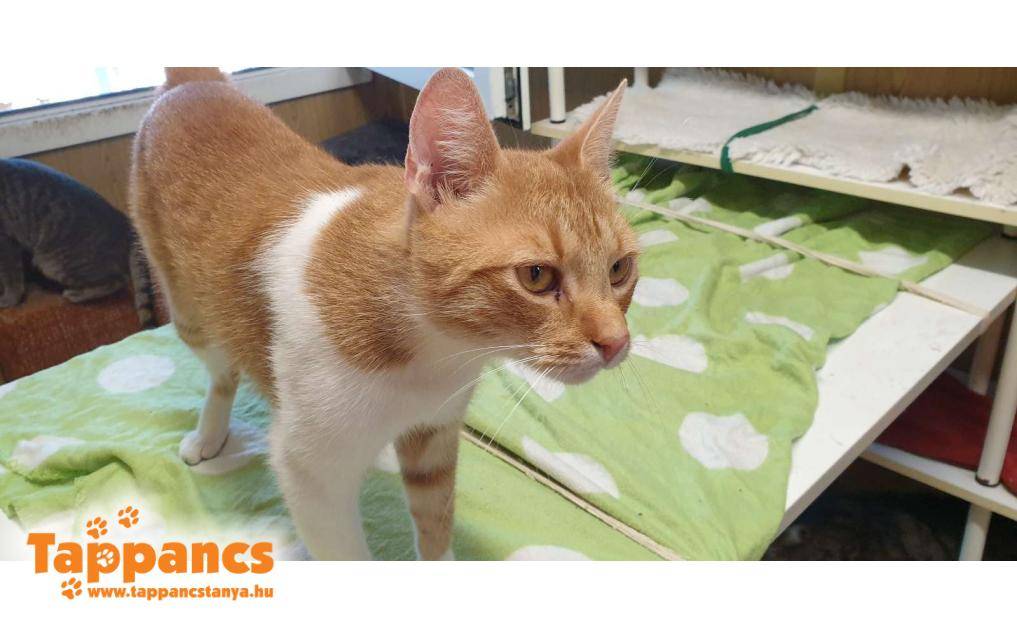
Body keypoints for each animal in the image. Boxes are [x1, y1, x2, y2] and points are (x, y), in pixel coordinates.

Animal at [0, 158, 156, 326]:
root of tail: (122, 220)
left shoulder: (6, 244)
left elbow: (12, 279)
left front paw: (9, 299)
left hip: (52, 262)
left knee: (118, 280)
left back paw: (77, 294)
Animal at [129, 67, 636, 560]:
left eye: (619, 269)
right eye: (536, 276)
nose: (616, 342)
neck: (432, 347)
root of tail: (195, 82)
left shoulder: (435, 437)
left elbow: (435, 525)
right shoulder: (310, 474)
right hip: (189, 312)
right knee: (222, 372)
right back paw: (208, 434)